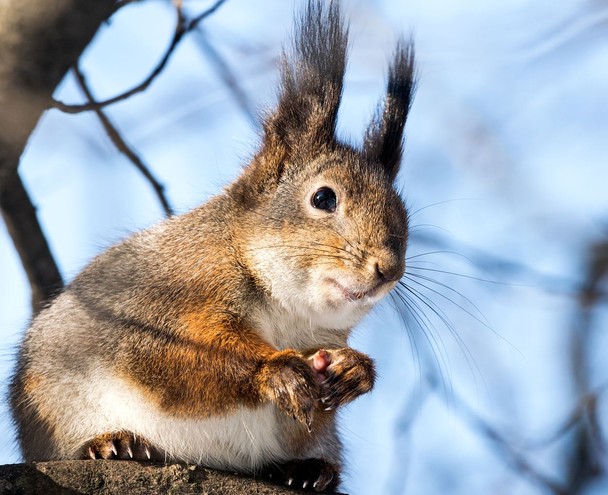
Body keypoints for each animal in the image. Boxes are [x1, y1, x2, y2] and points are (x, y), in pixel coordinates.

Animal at [8, 1, 414, 494]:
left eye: (404, 212)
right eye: (323, 198)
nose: (388, 269)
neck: (286, 311)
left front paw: (355, 369)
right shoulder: (159, 303)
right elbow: (174, 360)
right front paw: (276, 370)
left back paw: (306, 470)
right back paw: (112, 443)